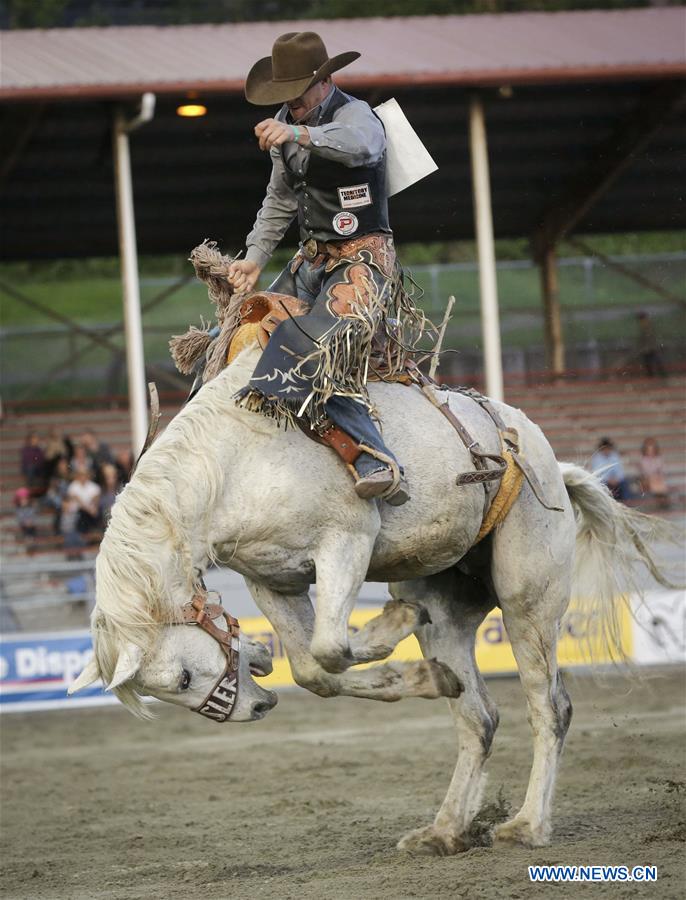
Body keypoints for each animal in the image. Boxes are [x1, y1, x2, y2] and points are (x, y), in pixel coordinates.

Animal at [68, 346, 676, 856]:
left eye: (183, 678)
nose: (253, 709)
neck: (232, 464)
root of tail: (551, 462)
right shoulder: (274, 581)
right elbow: (313, 668)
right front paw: (422, 676)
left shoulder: (347, 539)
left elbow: (332, 646)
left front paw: (391, 626)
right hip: (448, 606)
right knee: (477, 715)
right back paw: (443, 828)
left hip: (530, 598)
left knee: (549, 706)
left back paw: (526, 825)